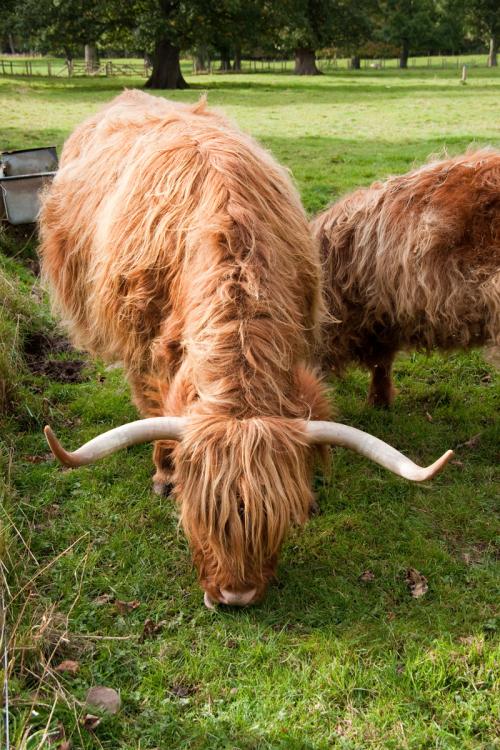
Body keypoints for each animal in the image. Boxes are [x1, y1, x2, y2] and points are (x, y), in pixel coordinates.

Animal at [40, 92, 454, 612]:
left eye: (277, 517)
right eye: (195, 516)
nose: (236, 595)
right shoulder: (145, 351)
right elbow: (156, 408)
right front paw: (164, 474)